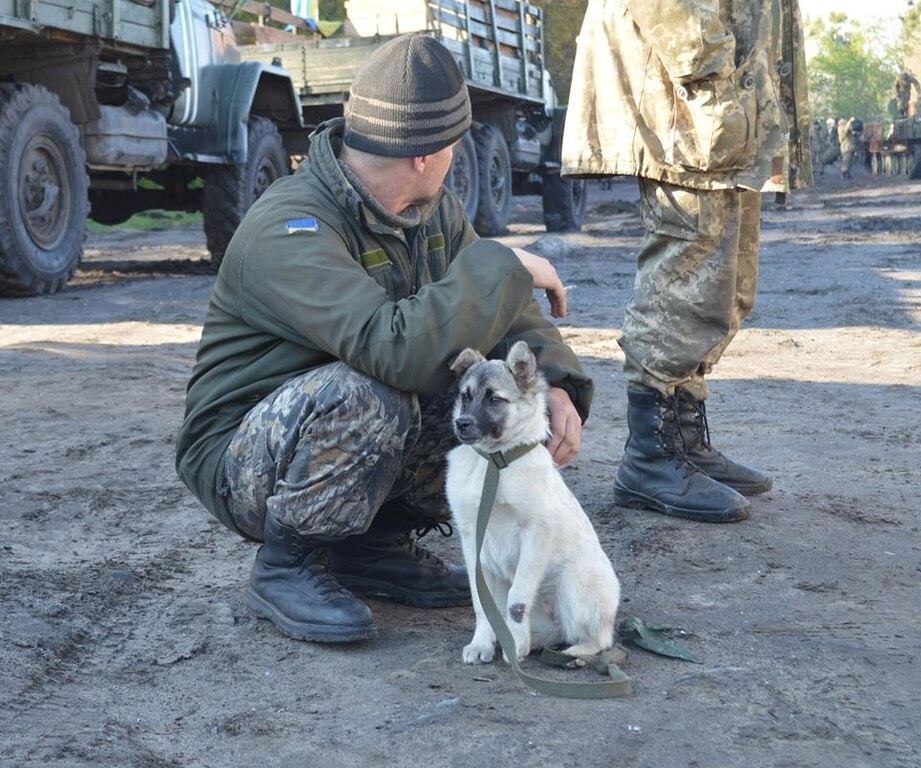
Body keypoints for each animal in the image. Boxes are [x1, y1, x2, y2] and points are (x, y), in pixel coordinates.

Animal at [444, 342, 620, 664]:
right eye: (466, 396)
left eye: (495, 398)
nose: (461, 424)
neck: (494, 463)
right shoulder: (471, 539)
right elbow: (481, 600)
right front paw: (481, 643)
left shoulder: (536, 534)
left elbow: (518, 597)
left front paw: (512, 645)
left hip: (574, 582)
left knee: (600, 638)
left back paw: (574, 654)